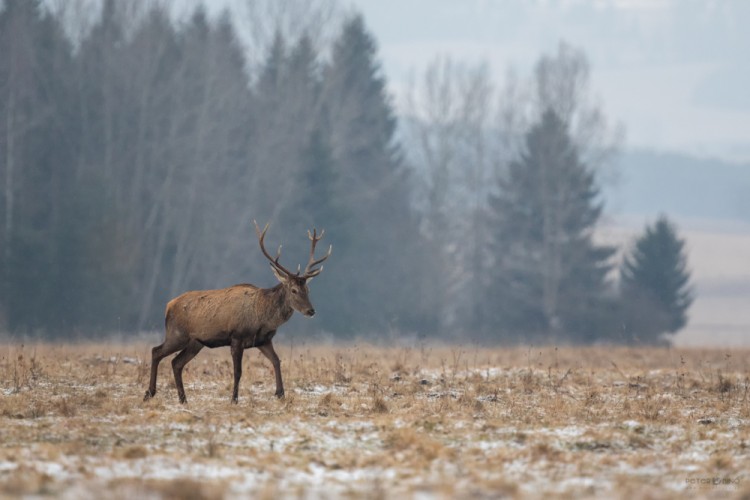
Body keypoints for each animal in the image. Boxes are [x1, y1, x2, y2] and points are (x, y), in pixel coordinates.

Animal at [142, 221, 330, 404]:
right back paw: (149, 393)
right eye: (293, 290)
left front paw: (280, 394)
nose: (311, 310)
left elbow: (277, 361)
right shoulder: (237, 337)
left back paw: (183, 399)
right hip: (177, 334)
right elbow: (238, 371)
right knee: (156, 351)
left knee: (176, 362)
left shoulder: (263, 340)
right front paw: (234, 399)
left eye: (308, 289)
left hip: (196, 342)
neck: (262, 318)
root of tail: (168, 305)